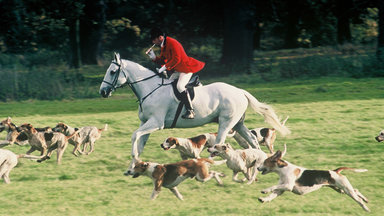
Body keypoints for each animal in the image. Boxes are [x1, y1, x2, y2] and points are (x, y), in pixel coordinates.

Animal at [99, 53, 292, 173]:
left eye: (113, 72)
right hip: (238, 124)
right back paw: (257, 160)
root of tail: (240, 91)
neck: (150, 89)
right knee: (252, 140)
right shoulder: (146, 123)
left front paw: (133, 160)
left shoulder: (155, 123)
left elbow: (135, 136)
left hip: (226, 123)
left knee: (220, 143)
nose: (103, 92)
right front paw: (135, 164)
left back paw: (211, 162)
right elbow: (139, 142)